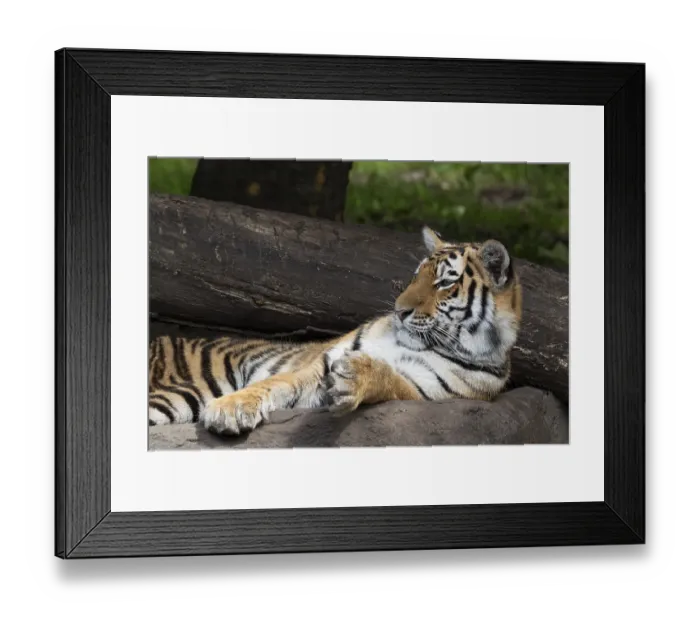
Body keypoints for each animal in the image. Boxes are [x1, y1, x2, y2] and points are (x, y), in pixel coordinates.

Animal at [148, 226, 523, 437]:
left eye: (444, 282)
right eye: (416, 276)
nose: (399, 310)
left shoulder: (423, 391)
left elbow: (388, 379)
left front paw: (355, 378)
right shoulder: (317, 364)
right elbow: (275, 382)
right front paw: (231, 409)